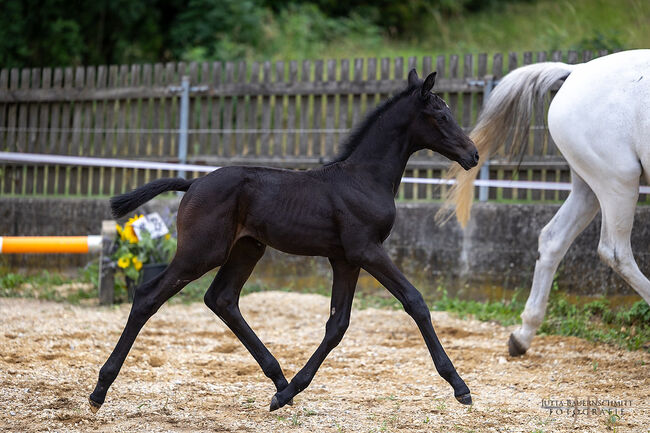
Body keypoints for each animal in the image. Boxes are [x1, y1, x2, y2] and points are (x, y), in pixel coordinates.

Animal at [88, 70, 476, 412]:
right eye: (441, 115)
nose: (472, 154)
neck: (364, 178)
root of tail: (193, 183)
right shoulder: (367, 250)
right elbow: (415, 301)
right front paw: (460, 386)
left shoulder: (346, 259)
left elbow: (337, 325)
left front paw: (290, 392)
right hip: (201, 252)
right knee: (148, 296)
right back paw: (99, 390)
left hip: (247, 249)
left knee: (222, 299)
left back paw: (278, 381)